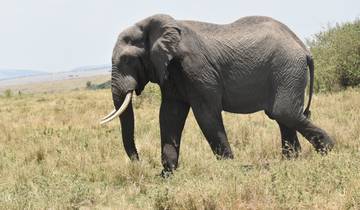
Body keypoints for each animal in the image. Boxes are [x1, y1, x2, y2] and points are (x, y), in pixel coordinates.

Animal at [99, 13, 334, 176]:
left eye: (127, 60)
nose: (139, 162)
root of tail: (304, 48)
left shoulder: (196, 68)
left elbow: (206, 114)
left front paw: (230, 170)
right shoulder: (170, 72)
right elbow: (169, 115)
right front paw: (166, 176)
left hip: (287, 68)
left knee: (284, 113)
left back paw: (329, 153)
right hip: (286, 71)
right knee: (283, 116)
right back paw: (290, 163)